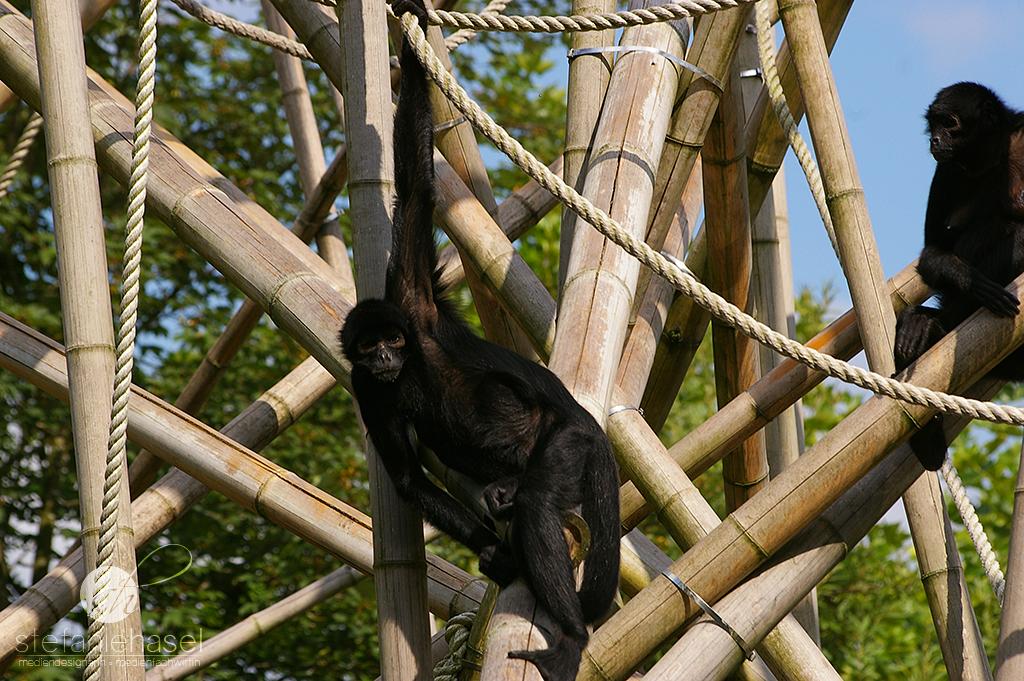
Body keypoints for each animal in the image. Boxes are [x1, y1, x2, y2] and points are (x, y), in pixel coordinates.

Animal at [338, 2, 620, 679]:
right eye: (369, 349)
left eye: (392, 340)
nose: (383, 356)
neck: (409, 361)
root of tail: (588, 421)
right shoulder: (366, 388)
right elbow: (409, 479)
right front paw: (498, 555)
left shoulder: (413, 299)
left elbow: (416, 185)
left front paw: (410, 25)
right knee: (510, 497)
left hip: (566, 438)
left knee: (541, 500)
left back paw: (572, 634)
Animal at [894, 82, 1024, 470]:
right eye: (933, 124)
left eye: (949, 123)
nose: (935, 139)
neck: (993, 161)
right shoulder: (947, 170)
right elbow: (933, 251)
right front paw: (973, 282)